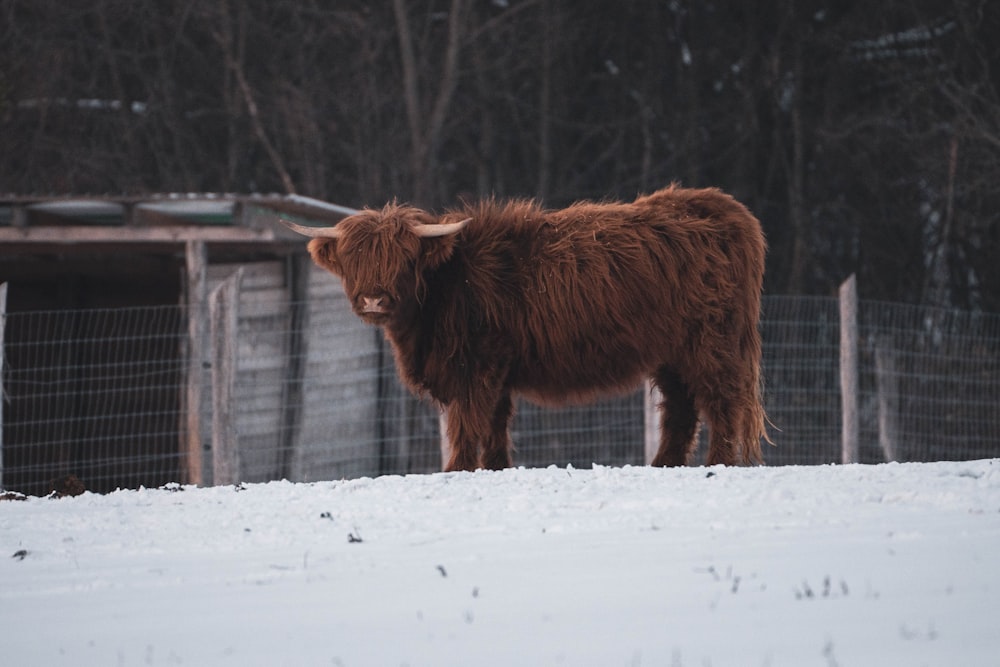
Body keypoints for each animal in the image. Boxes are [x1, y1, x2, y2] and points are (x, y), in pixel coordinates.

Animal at [286, 185, 768, 472]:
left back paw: (719, 463)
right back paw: (663, 463)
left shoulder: (475, 365)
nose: (373, 299)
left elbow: (468, 422)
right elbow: (496, 422)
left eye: (402, 259)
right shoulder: (496, 370)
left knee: (722, 401)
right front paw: (496, 466)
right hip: (672, 353)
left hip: (711, 341)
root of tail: (721, 206)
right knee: (681, 408)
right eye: (353, 260)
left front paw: (457, 469)